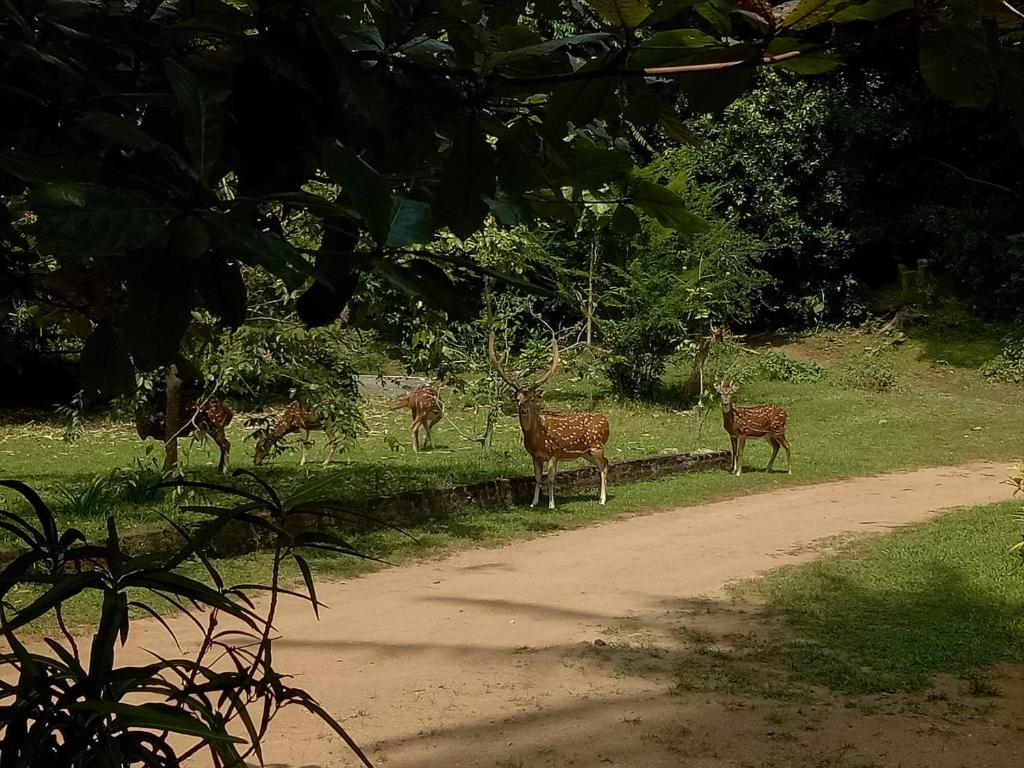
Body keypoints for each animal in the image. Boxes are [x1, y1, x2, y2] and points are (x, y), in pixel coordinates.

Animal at [489, 331, 610, 509]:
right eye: (518, 399)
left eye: (532, 399)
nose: (524, 410)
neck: (537, 438)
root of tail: (606, 420)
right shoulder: (535, 455)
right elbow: (538, 478)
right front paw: (533, 503)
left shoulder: (554, 452)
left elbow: (551, 479)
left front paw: (551, 504)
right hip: (586, 452)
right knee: (603, 464)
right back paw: (598, 497)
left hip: (597, 445)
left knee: (604, 466)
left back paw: (602, 499)